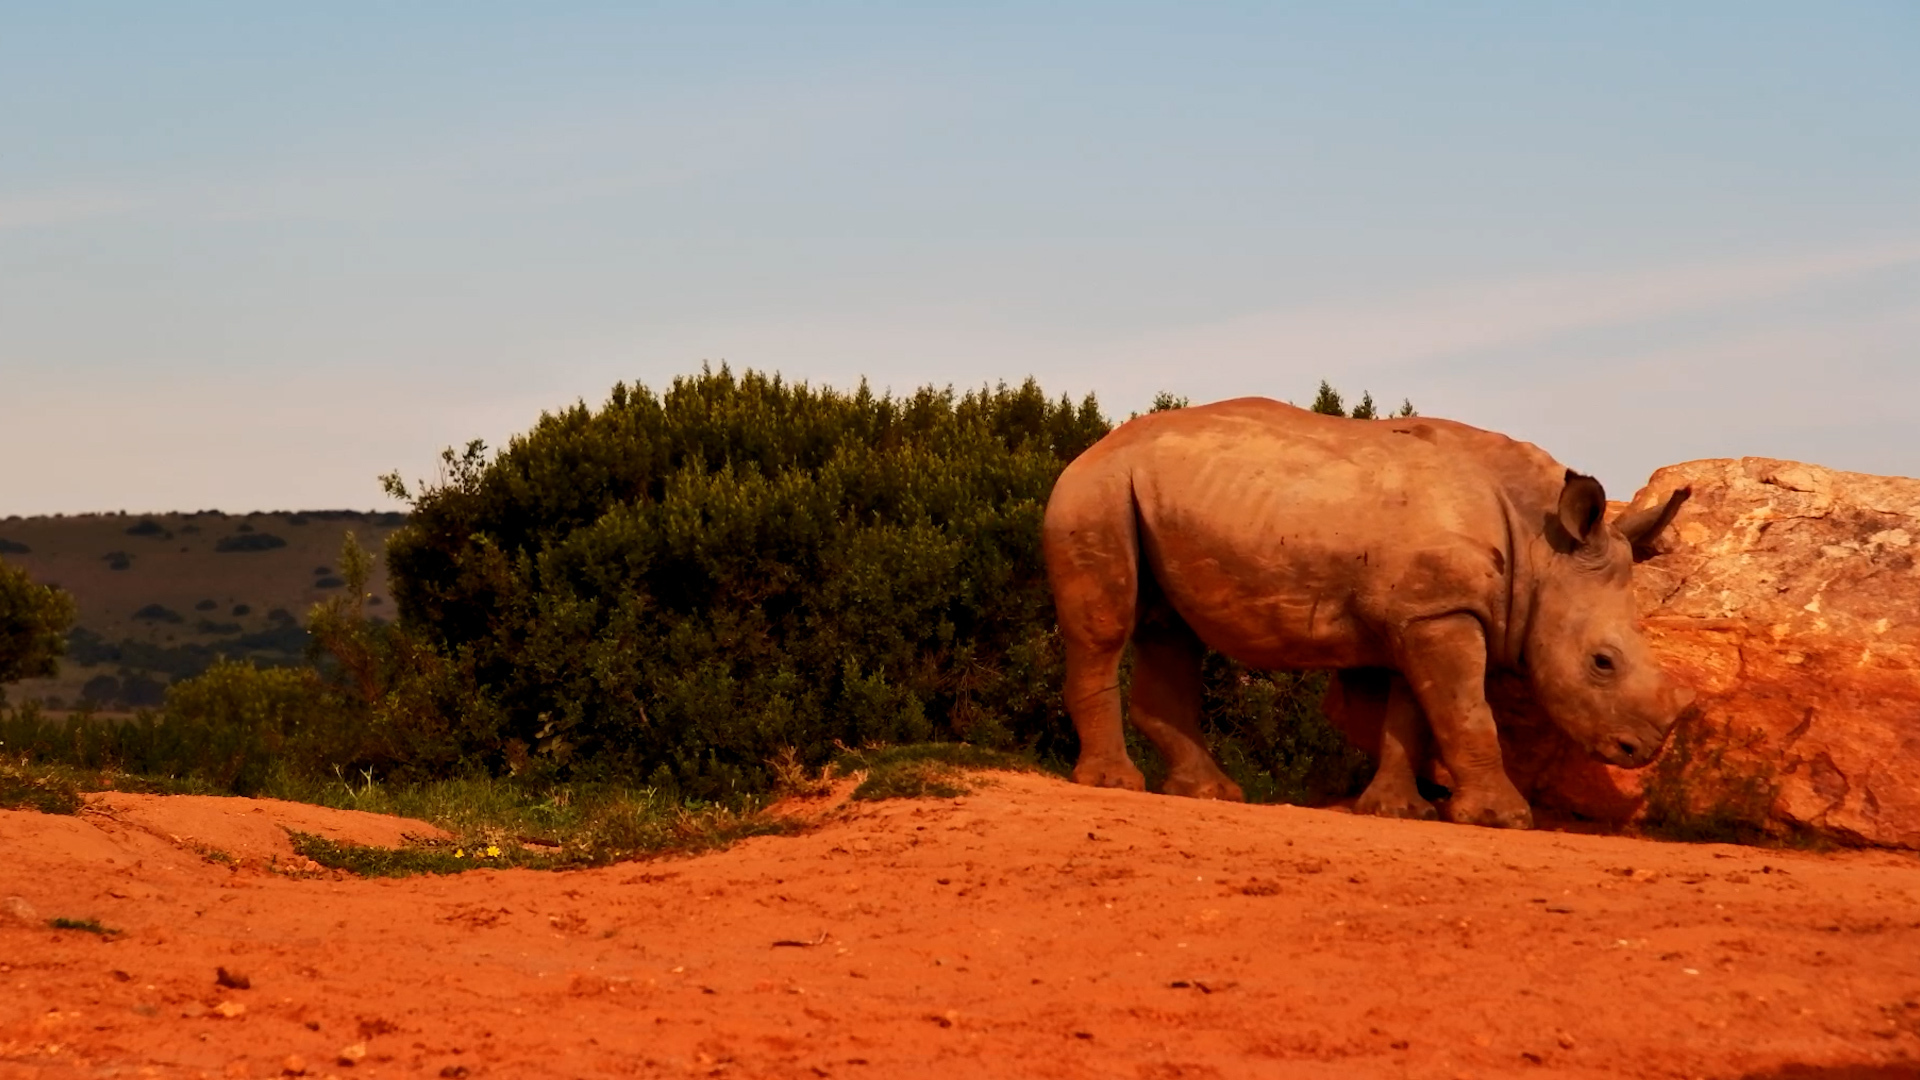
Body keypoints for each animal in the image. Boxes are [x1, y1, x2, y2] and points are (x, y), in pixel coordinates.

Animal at [1041, 397, 1693, 828]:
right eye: (1602, 662)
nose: (1639, 751)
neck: (1543, 547)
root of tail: (1089, 448)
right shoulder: (1440, 612)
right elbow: (1466, 710)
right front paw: (1504, 819)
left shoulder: (1419, 611)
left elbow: (1413, 715)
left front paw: (1399, 811)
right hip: (1096, 491)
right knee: (1107, 629)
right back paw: (1115, 783)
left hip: (1157, 495)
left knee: (1171, 631)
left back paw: (1210, 793)